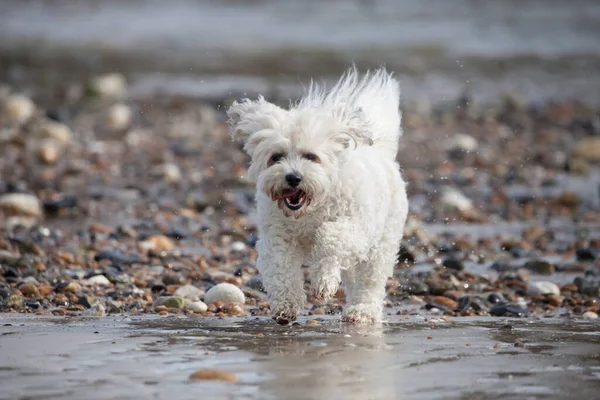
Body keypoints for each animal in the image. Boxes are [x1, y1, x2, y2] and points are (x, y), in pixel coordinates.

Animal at [229, 68, 408, 324]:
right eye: (276, 157)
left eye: (311, 156)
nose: (293, 177)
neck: (311, 208)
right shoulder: (277, 236)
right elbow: (280, 267)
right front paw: (286, 304)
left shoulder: (355, 228)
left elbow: (328, 238)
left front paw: (323, 283)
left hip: (381, 244)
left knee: (370, 280)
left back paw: (361, 310)